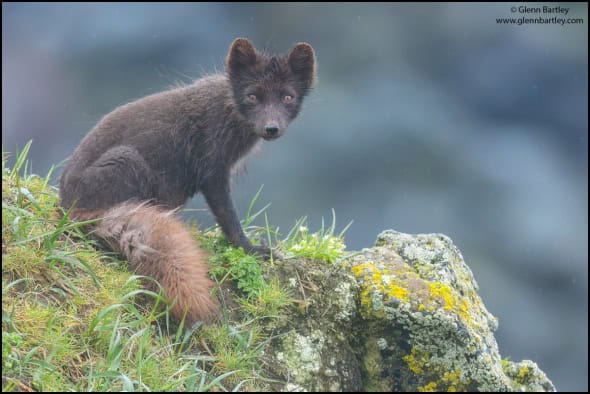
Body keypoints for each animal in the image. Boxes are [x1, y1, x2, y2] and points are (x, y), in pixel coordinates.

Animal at [60, 38, 316, 324]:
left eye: (287, 97)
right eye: (252, 96)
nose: (271, 128)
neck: (229, 109)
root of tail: (68, 206)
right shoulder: (213, 170)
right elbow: (229, 220)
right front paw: (251, 250)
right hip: (127, 160)